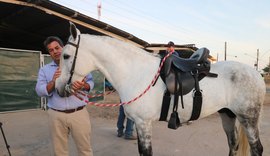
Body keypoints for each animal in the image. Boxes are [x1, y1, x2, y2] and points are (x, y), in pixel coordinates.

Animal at [55, 23, 266, 156]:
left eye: (66, 56)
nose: (58, 88)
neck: (135, 72)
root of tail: (256, 74)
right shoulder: (140, 124)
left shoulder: (143, 123)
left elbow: (146, 152)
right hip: (228, 115)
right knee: (233, 145)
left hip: (248, 119)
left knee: (257, 148)